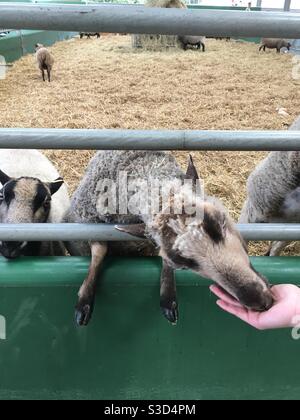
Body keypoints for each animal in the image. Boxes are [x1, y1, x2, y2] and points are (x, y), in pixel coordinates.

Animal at [65, 151, 274, 328]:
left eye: (220, 221)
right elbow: (99, 251)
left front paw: (167, 298)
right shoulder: (90, 222)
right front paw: (84, 304)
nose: (261, 301)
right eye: (182, 263)